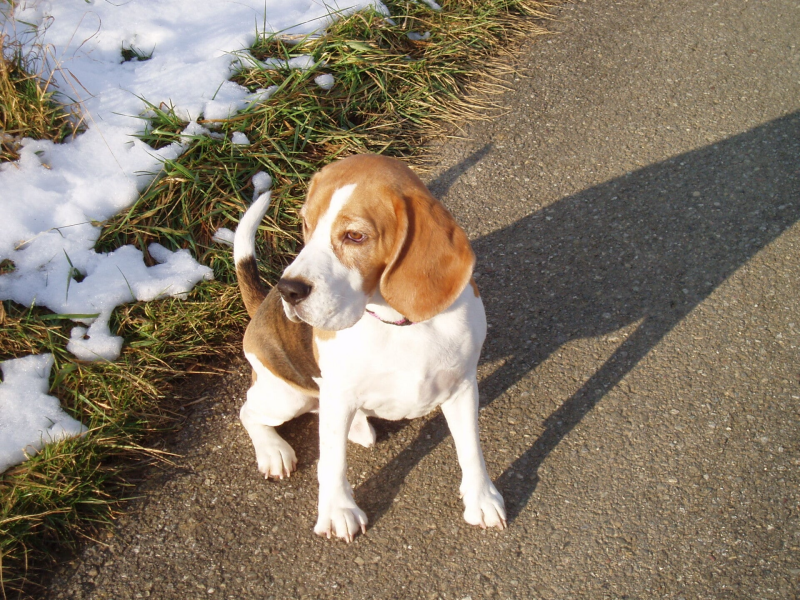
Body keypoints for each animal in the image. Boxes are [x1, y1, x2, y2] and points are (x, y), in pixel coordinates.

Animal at [234, 154, 506, 541]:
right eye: (306, 224)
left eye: (355, 236)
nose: (288, 290)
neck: (398, 324)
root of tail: (260, 308)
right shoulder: (338, 396)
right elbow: (332, 462)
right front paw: (337, 511)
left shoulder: (463, 385)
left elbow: (470, 447)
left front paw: (481, 498)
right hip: (286, 397)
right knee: (249, 412)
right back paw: (274, 451)